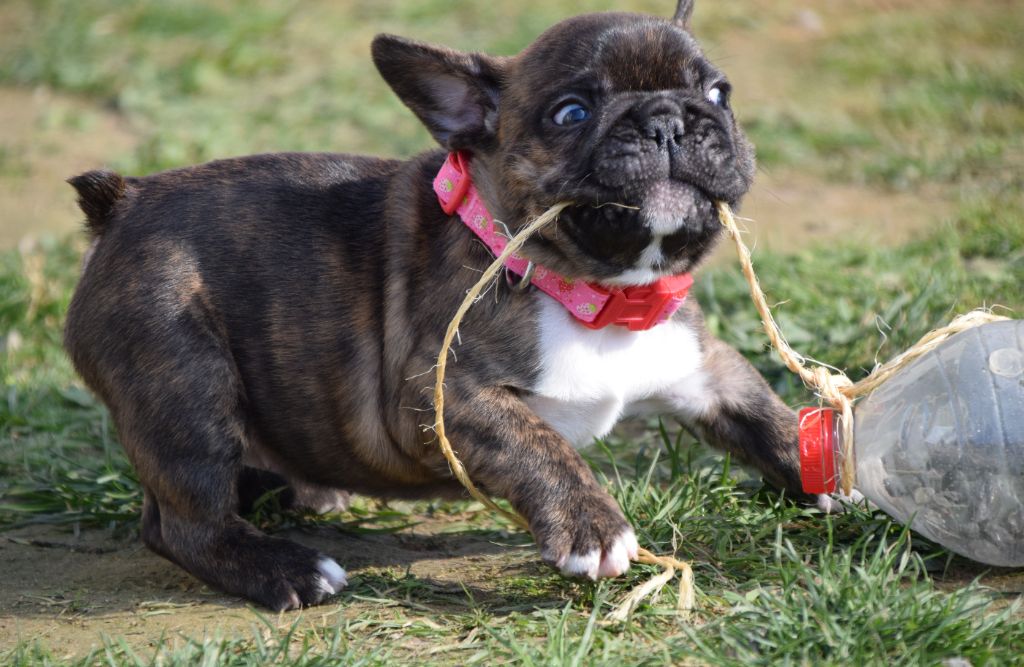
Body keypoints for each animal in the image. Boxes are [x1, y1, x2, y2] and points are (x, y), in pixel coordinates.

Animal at [64, 0, 811, 610]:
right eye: (572, 112)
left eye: (717, 91)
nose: (667, 119)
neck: (599, 293)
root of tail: (122, 201)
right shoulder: (436, 395)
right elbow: (534, 441)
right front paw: (591, 525)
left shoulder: (704, 367)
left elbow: (771, 413)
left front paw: (828, 468)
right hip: (182, 373)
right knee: (181, 522)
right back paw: (286, 571)